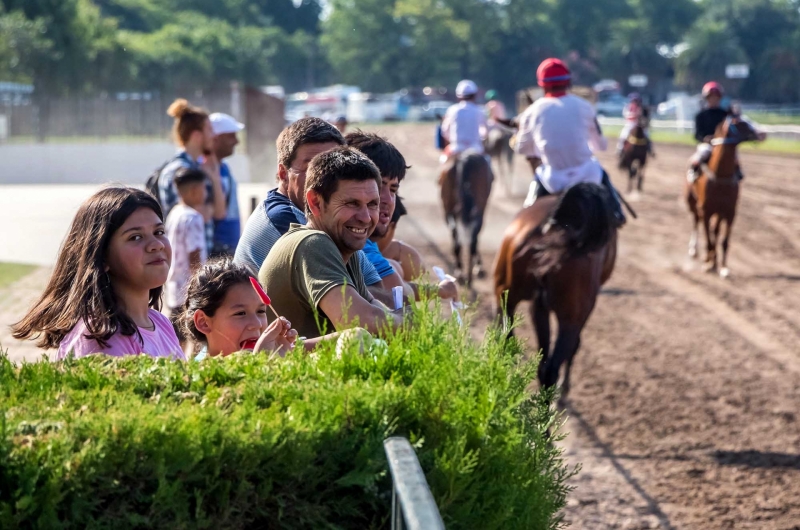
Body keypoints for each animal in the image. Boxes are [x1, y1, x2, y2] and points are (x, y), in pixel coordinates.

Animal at [438, 143, 494, 284]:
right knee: (471, 238)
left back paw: (460, 269)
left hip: (448, 208)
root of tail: (463, 159)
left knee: (455, 232)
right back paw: (468, 272)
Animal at [490, 183, 616, 400]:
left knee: (509, 346)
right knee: (552, 368)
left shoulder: (538, 307)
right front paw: (565, 388)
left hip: (505, 297)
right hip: (571, 317)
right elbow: (575, 346)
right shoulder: (578, 315)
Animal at [684, 114, 760, 276]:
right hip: (693, 204)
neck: (720, 177)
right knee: (696, 222)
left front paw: (723, 267)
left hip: (718, 212)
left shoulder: (730, 211)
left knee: (715, 230)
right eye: (740, 123)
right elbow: (708, 239)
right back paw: (695, 250)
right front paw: (707, 263)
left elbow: (724, 240)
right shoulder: (706, 211)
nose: (761, 133)